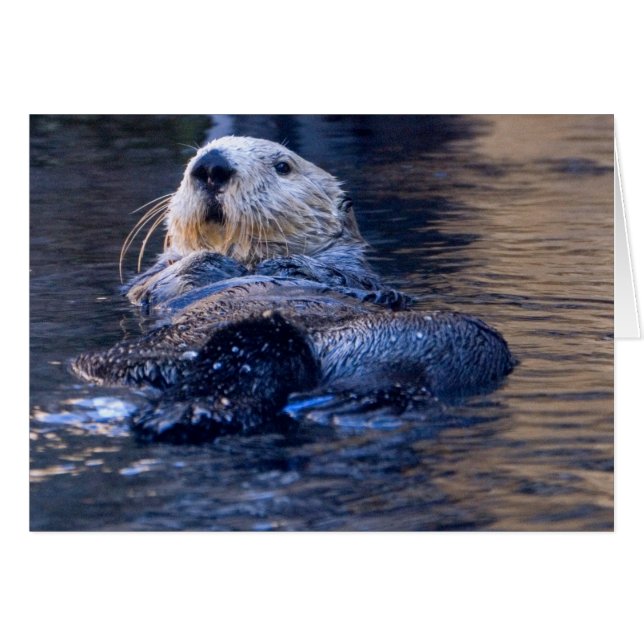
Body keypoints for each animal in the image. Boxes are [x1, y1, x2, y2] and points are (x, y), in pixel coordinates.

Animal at [72, 136, 514, 443]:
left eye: (282, 166)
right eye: (192, 160)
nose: (211, 166)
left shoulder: (359, 274)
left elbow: (357, 282)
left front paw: (287, 266)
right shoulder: (150, 282)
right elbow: (164, 281)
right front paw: (219, 263)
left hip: (455, 337)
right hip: (107, 362)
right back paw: (182, 413)